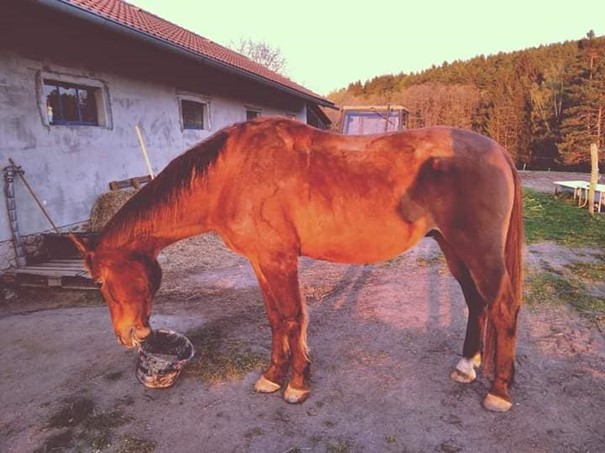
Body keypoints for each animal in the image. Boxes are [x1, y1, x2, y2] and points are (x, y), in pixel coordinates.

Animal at [72, 116, 523, 412]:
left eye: (99, 282)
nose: (128, 335)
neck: (230, 175)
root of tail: (499, 151)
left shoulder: (279, 260)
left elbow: (291, 316)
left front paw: (297, 384)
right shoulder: (261, 261)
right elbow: (276, 319)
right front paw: (274, 375)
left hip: (478, 250)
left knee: (502, 306)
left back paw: (499, 392)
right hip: (453, 248)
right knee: (476, 301)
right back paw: (467, 366)